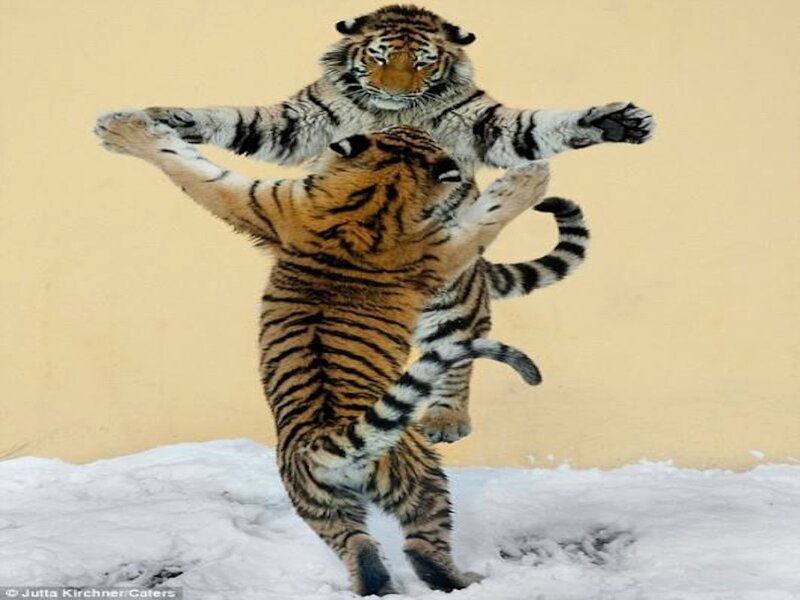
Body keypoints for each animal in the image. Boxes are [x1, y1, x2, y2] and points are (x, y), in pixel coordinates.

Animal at [94, 110, 556, 594]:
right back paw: (465, 580)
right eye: (403, 133)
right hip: (419, 475)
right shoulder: (443, 250)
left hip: (319, 502)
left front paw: (120, 130)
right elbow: (486, 219)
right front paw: (529, 178)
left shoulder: (260, 203)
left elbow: (191, 168)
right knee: (422, 548)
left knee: (361, 549)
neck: (375, 195)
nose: (416, 123)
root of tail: (325, 443)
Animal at [143, 4, 613, 443]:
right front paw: (171, 118)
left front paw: (610, 121)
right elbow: (244, 123)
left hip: (454, 297)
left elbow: (528, 128)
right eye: (379, 56)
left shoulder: (481, 122)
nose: (392, 91)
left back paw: (446, 420)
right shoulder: (299, 121)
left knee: (456, 351)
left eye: (422, 62)